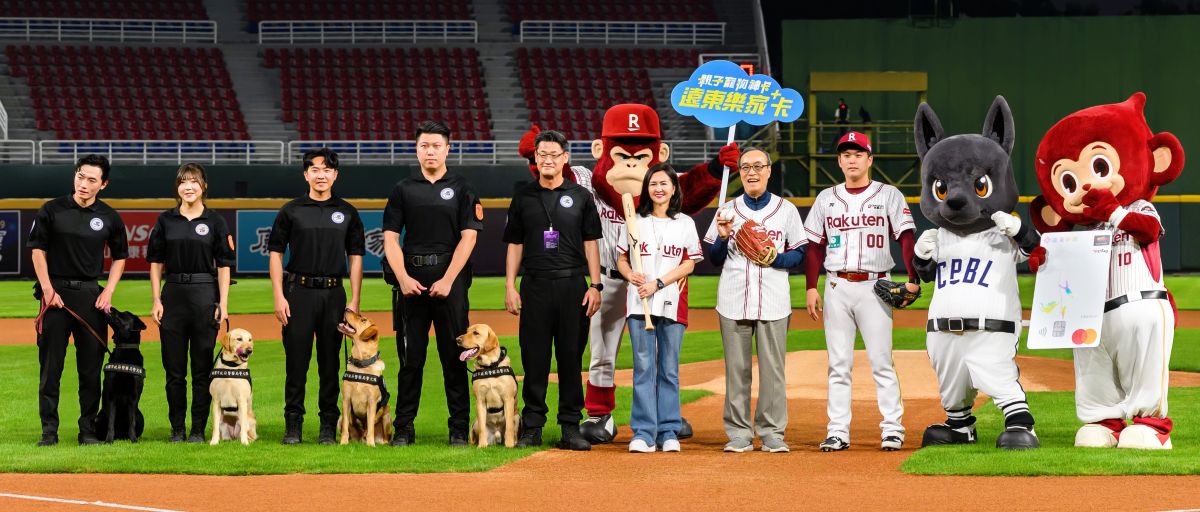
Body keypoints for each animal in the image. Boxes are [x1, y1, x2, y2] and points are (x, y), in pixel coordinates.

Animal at [95, 308, 146, 443]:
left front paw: (133, 439)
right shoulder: (111, 395)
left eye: (125, 313)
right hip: (99, 417)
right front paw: (109, 440)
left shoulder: (133, 396)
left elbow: (131, 422)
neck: (125, 348)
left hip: (141, 417)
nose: (111, 307)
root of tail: (121, 436)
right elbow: (111, 422)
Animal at [337, 309, 393, 446]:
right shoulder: (346, 399)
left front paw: (370, 444)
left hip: (387, 414)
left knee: (384, 436)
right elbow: (346, 426)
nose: (347, 309)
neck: (360, 365)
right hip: (339, 419)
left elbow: (370, 425)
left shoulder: (372, 402)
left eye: (363, 320)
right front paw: (343, 443)